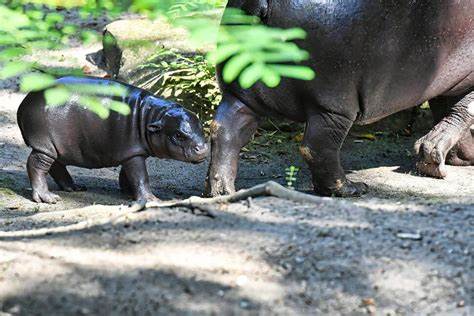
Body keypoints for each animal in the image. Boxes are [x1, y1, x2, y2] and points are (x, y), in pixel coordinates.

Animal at [17, 76, 208, 202]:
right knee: (37, 165)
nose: (204, 148)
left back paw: (75, 188)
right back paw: (48, 198)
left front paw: (128, 193)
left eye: (201, 126)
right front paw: (152, 200)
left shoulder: (131, 152)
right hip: (44, 145)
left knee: (56, 165)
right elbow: (141, 177)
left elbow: (129, 175)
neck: (152, 116)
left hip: (56, 146)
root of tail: (25, 102)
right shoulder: (133, 154)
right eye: (178, 135)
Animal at [207, 0, 474, 198]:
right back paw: (351, 189)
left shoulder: (448, 83)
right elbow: (464, 111)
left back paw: (221, 191)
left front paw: (447, 156)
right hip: (333, 107)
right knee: (316, 147)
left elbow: (450, 112)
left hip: (240, 94)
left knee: (225, 130)